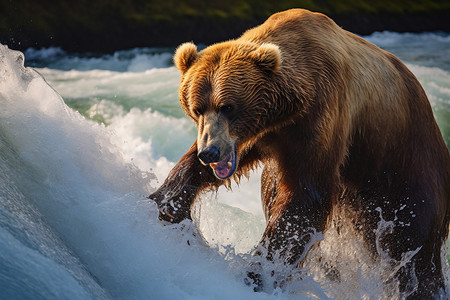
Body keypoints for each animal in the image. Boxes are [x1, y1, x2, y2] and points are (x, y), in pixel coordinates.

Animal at [149, 8, 450, 298]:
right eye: (196, 107)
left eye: (228, 106)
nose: (210, 152)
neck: (286, 109)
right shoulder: (260, 137)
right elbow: (194, 171)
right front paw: (167, 206)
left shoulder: (321, 118)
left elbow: (304, 198)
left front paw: (259, 271)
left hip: (403, 169)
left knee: (413, 247)